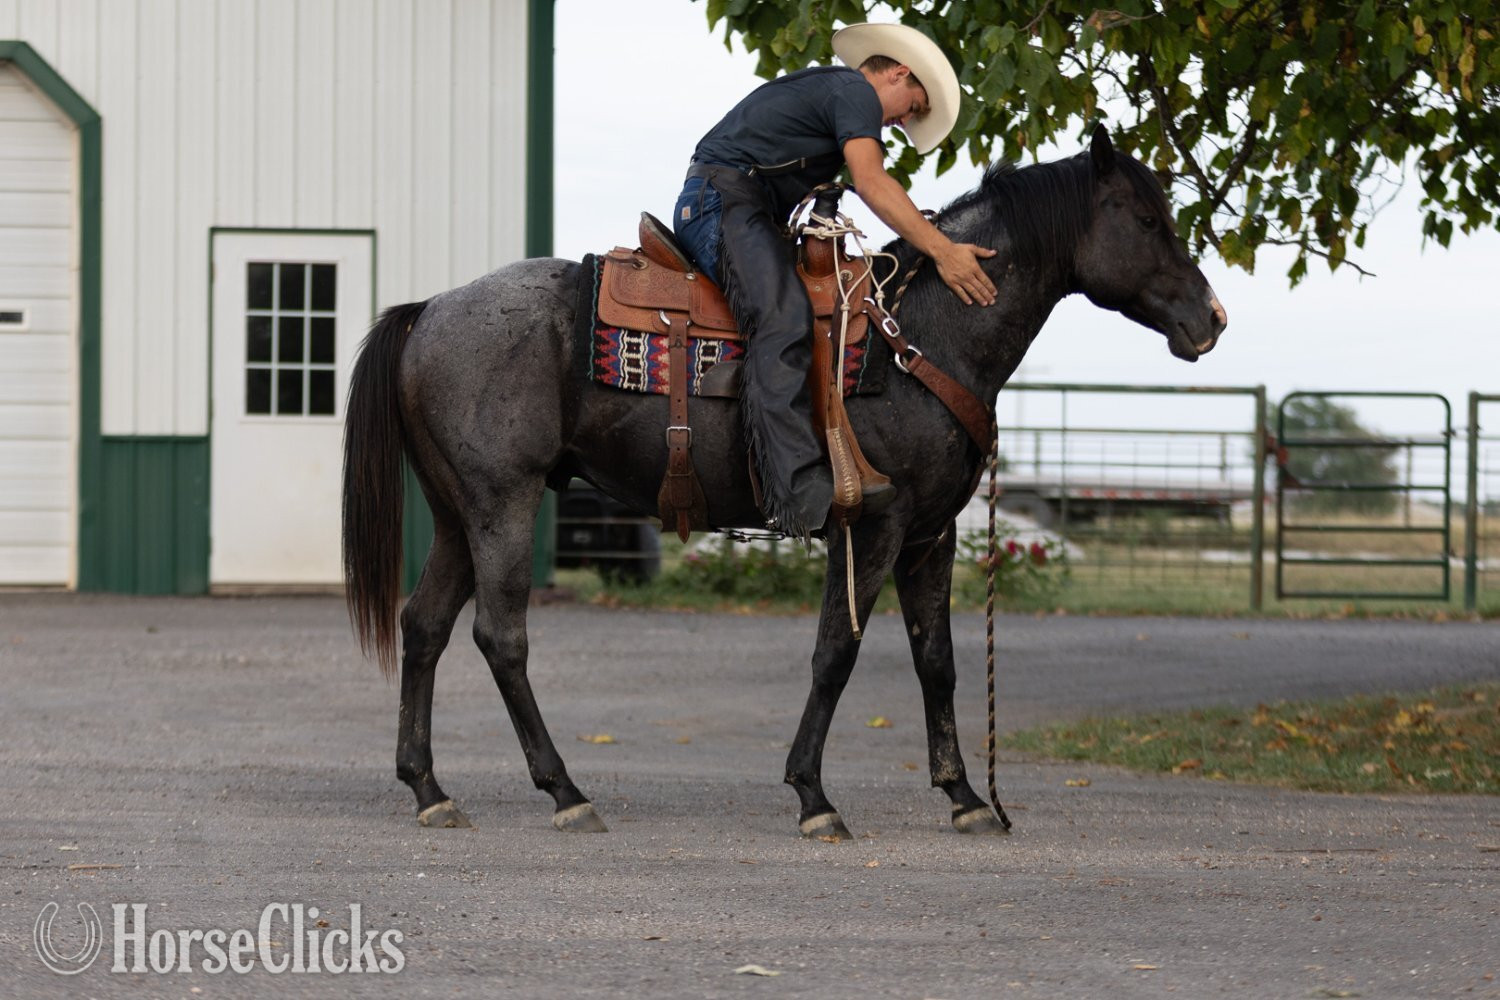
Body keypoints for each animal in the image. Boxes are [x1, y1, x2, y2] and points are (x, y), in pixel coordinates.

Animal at [342, 126, 1227, 839]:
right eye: (1145, 218)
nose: (1211, 319)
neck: (920, 336)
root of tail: (430, 309)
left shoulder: (932, 534)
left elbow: (936, 659)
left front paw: (967, 797)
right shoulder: (873, 527)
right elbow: (837, 651)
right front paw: (814, 796)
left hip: (458, 513)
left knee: (424, 626)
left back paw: (429, 788)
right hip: (504, 502)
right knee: (502, 638)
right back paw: (565, 791)